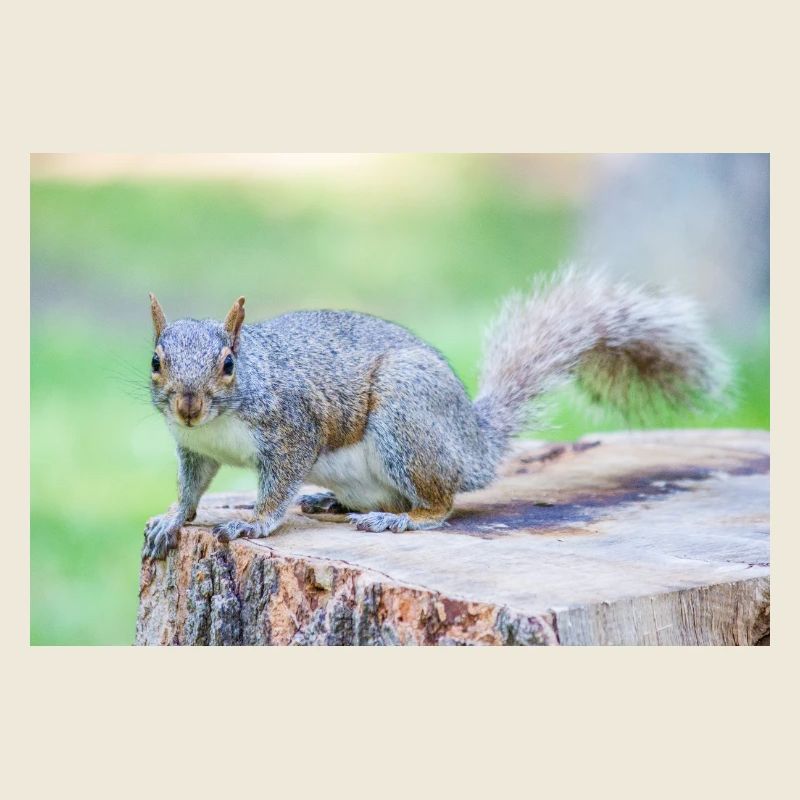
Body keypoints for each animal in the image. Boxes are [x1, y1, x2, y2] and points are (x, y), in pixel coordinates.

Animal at [143, 268, 729, 559]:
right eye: (155, 360)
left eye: (228, 364)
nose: (188, 405)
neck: (219, 423)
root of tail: (473, 444)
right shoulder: (194, 449)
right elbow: (192, 489)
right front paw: (172, 519)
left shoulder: (293, 431)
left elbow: (277, 485)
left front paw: (253, 523)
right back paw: (331, 501)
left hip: (406, 420)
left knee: (440, 504)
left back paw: (400, 518)